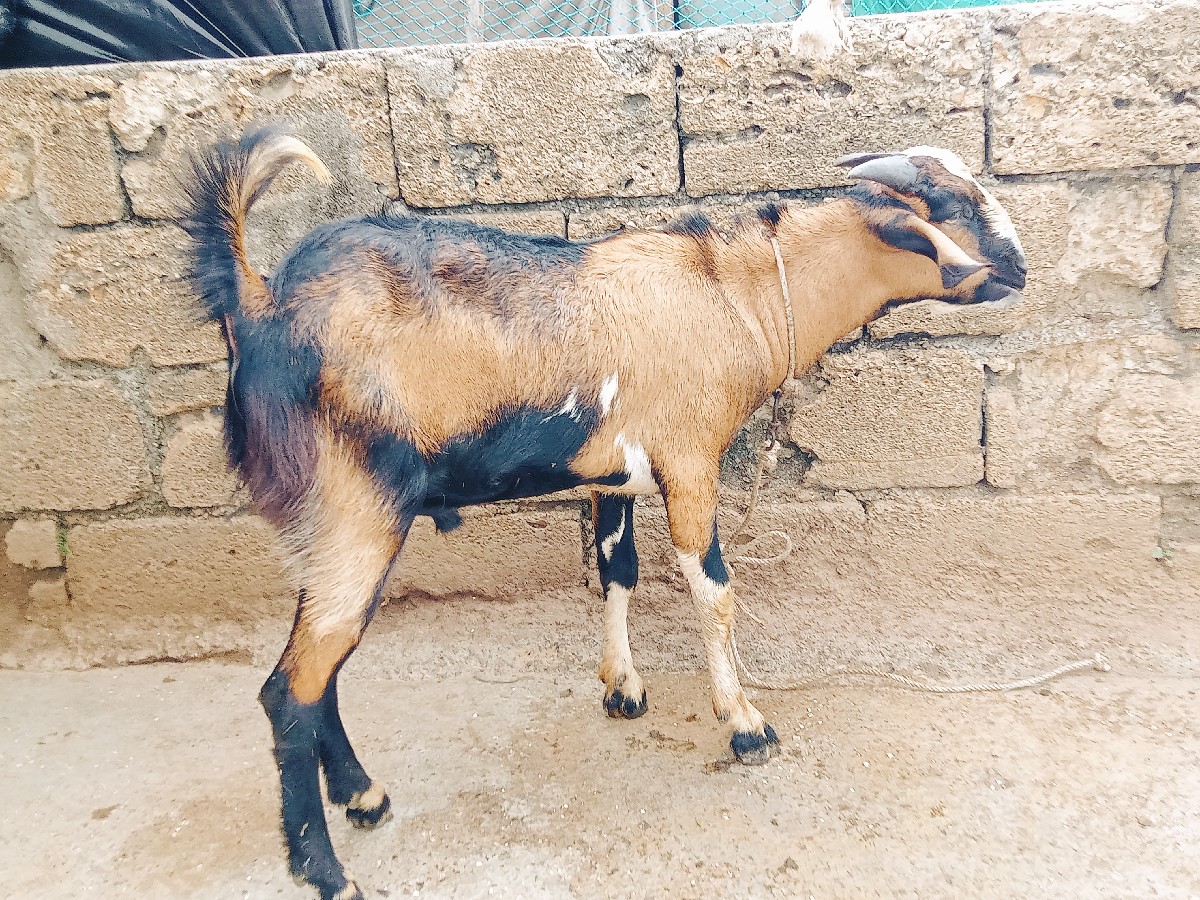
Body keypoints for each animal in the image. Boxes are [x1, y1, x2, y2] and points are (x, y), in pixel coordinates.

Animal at [180, 126, 1025, 900]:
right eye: (953, 208)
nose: (1019, 269)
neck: (735, 294)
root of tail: (257, 301)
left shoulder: (613, 477)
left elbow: (619, 570)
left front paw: (623, 688)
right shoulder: (691, 462)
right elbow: (713, 591)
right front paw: (746, 725)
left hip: (324, 524)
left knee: (317, 664)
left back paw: (363, 796)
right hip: (356, 508)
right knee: (293, 687)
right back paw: (326, 871)